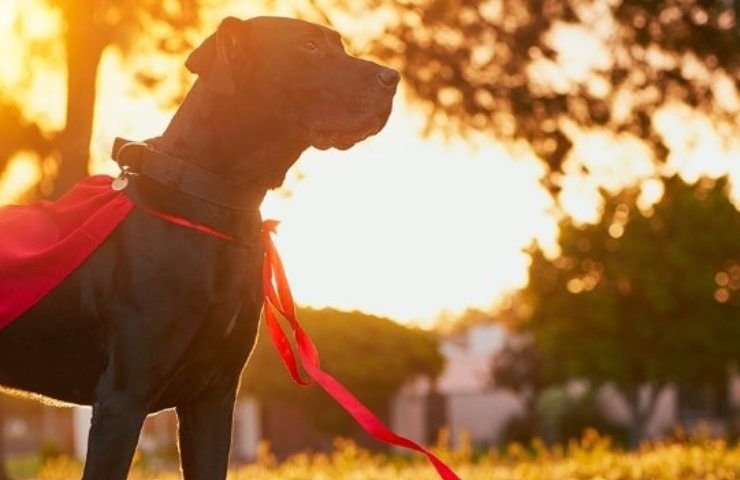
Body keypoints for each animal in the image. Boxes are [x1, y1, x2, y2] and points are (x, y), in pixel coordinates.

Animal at [0, 16, 398, 478]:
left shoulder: (213, 396)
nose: (393, 78)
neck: (210, 199)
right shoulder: (123, 398)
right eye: (309, 47)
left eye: (340, 45)